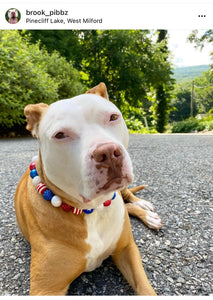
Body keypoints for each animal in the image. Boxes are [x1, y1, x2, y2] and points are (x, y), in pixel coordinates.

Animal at [14, 82, 161, 296]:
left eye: (113, 117)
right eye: (60, 135)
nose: (108, 152)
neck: (93, 210)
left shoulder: (127, 249)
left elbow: (146, 288)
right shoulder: (46, 288)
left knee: (127, 199)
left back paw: (144, 208)